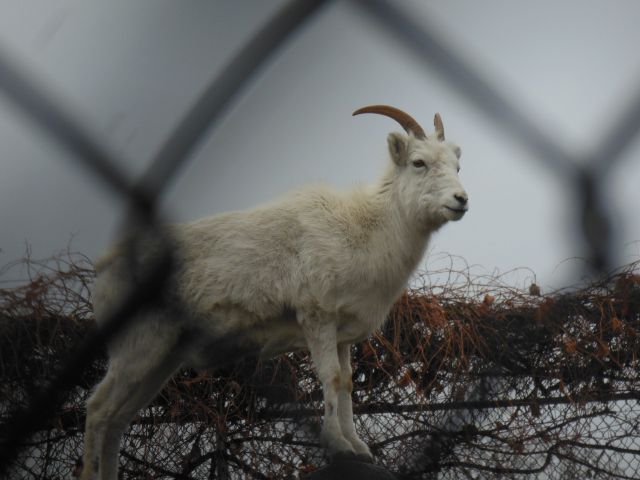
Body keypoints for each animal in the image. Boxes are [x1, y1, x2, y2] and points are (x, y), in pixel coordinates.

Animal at [81, 106, 470, 480]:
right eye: (419, 162)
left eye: (456, 165)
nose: (461, 200)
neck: (364, 230)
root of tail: (106, 266)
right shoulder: (317, 320)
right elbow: (330, 378)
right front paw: (338, 446)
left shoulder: (342, 335)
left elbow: (345, 385)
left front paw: (357, 448)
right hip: (138, 348)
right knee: (98, 411)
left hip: (160, 361)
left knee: (116, 421)